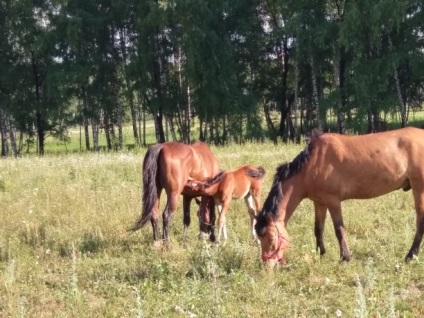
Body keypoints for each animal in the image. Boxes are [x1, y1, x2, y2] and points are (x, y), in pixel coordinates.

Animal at [255, 128, 424, 268]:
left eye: (271, 238)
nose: (267, 265)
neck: (313, 163)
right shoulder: (319, 202)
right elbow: (318, 229)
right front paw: (321, 254)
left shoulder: (333, 201)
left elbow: (339, 230)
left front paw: (345, 258)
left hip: (419, 188)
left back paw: (410, 256)